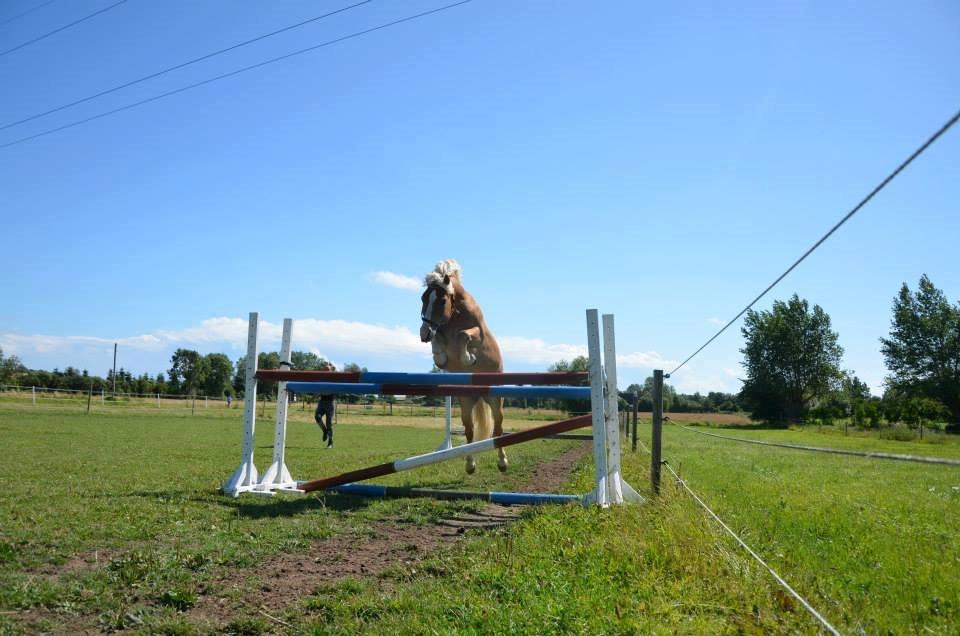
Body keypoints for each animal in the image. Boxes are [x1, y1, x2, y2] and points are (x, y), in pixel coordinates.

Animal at [420, 258, 510, 472]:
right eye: (423, 299)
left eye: (442, 301)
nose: (423, 333)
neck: (455, 315)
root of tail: (479, 395)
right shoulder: (441, 333)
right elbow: (439, 343)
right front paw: (440, 357)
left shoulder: (477, 334)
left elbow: (464, 335)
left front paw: (469, 358)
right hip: (466, 401)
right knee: (469, 431)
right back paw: (470, 464)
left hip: (495, 399)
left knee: (498, 429)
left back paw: (502, 462)